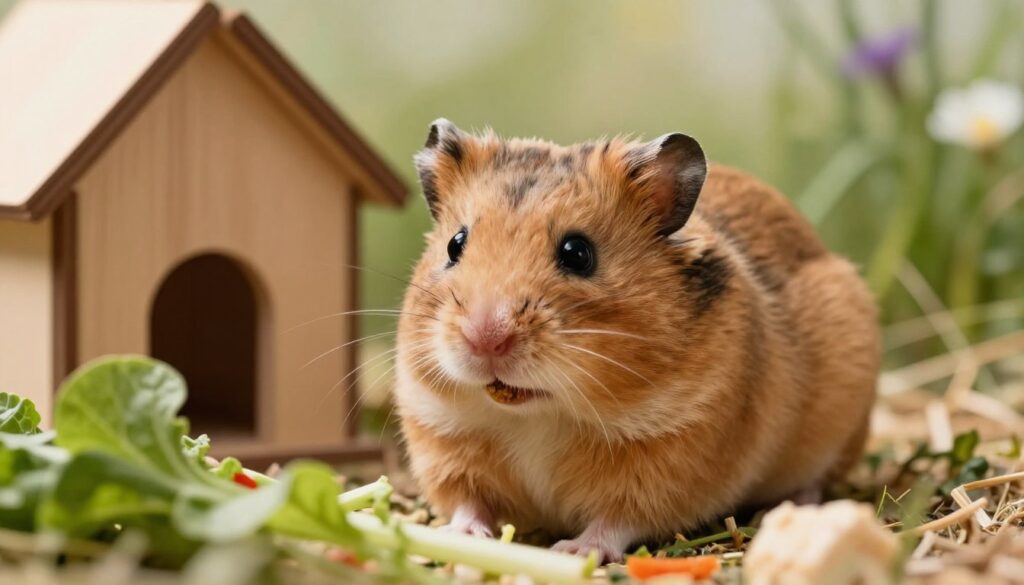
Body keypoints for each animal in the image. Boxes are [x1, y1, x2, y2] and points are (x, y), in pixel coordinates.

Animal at [393, 119, 880, 562]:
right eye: (455, 244)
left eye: (578, 253)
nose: (485, 338)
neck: (541, 412)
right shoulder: (442, 436)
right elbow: (467, 501)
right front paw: (460, 537)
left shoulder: (670, 459)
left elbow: (617, 519)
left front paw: (574, 551)